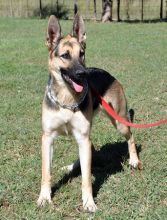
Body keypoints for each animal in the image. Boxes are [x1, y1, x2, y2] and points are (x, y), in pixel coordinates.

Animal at [37, 14, 140, 212]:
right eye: (65, 55)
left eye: (82, 53)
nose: (83, 73)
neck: (66, 100)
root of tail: (108, 73)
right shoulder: (48, 138)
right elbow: (46, 172)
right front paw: (44, 197)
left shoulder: (83, 137)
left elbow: (86, 178)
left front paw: (88, 202)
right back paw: (71, 167)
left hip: (119, 122)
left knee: (130, 137)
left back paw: (134, 160)